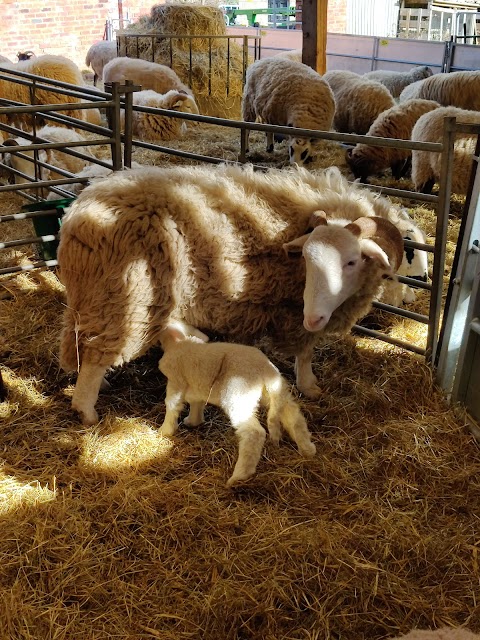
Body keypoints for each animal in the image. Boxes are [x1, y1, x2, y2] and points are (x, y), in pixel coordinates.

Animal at [57, 164, 408, 424]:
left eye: (351, 261)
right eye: (307, 259)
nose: (313, 316)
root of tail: (79, 215)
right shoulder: (292, 309)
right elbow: (305, 351)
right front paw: (310, 386)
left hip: (94, 298)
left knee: (83, 343)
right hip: (127, 300)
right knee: (95, 357)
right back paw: (87, 411)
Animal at [157, 322, 316, 488]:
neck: (178, 342)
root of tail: (266, 371)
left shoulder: (176, 380)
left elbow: (172, 404)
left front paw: (165, 430)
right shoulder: (198, 385)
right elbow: (197, 403)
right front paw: (193, 421)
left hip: (238, 397)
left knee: (254, 433)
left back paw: (239, 476)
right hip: (277, 392)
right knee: (294, 417)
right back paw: (308, 449)